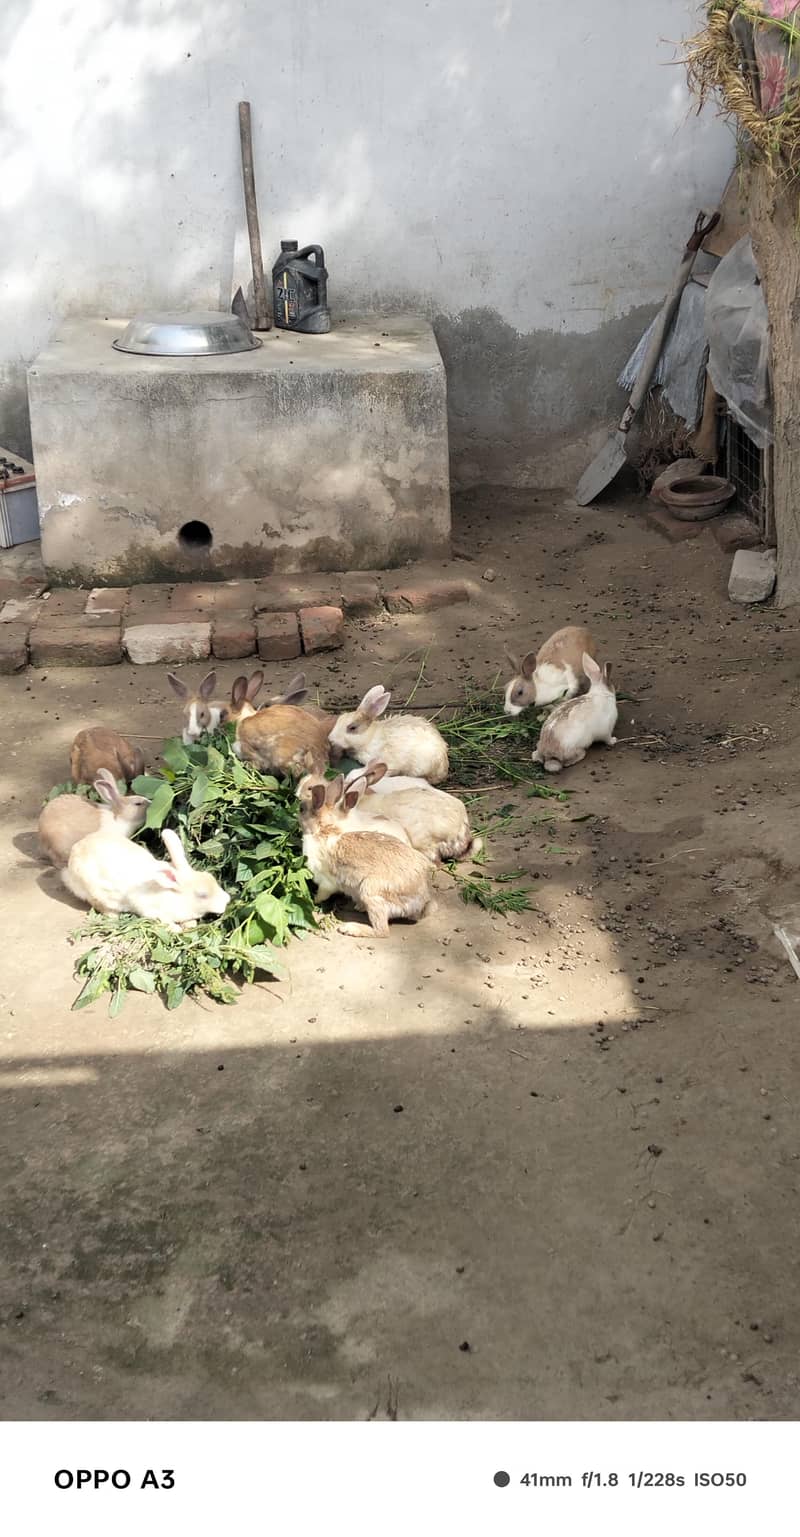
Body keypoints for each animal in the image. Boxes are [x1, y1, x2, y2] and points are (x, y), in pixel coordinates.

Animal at [62, 825, 230, 930]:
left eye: (211, 877)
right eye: (202, 895)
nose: (227, 900)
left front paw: (190, 925)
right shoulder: (152, 911)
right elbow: (165, 922)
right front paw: (176, 929)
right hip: (95, 893)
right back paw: (114, 917)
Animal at [299, 775, 434, 937]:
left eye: (301, 809)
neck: (323, 831)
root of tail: (421, 903)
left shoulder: (326, 883)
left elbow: (322, 893)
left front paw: (314, 901)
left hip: (371, 892)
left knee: (382, 931)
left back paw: (350, 928)